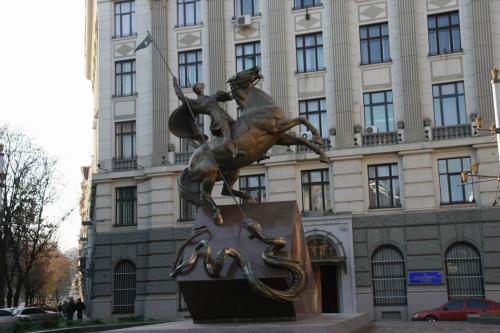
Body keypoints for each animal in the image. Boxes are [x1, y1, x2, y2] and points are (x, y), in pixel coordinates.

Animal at [178, 66, 330, 224]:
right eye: (239, 74)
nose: (256, 68)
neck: (258, 106)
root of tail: (190, 162)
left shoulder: (280, 137)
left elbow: (302, 139)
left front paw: (322, 153)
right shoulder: (275, 127)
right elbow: (301, 119)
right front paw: (318, 138)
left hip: (232, 170)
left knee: (225, 190)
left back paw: (249, 198)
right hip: (210, 173)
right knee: (205, 195)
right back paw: (218, 215)